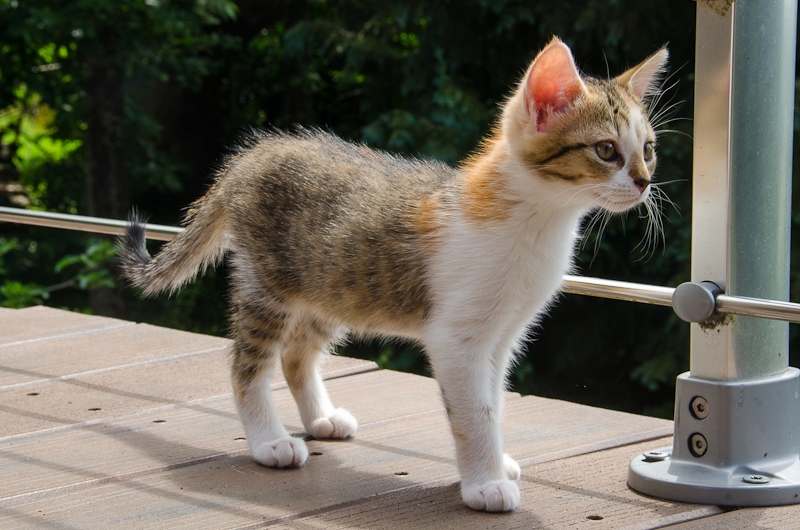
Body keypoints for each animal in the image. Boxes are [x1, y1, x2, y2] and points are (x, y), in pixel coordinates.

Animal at [120, 38, 668, 512]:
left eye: (648, 149)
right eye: (605, 150)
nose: (645, 182)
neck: (538, 222)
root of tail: (255, 153)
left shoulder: (502, 335)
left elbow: (493, 401)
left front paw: (496, 462)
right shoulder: (458, 338)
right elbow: (475, 413)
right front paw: (485, 483)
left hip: (334, 284)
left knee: (297, 354)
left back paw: (320, 418)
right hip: (269, 285)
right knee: (247, 365)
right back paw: (270, 441)